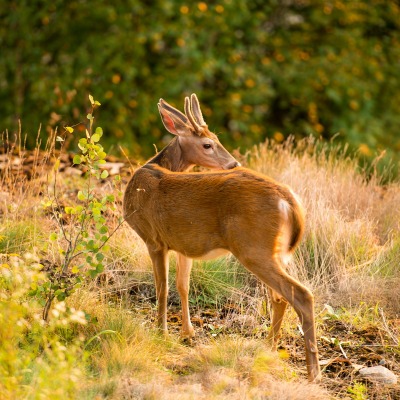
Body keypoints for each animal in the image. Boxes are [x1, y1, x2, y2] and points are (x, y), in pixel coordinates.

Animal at [123, 93, 320, 382]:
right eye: (208, 143)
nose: (233, 163)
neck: (155, 168)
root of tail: (289, 200)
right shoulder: (183, 245)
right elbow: (182, 286)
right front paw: (187, 333)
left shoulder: (153, 239)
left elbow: (162, 288)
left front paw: (161, 333)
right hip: (277, 251)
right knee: (280, 297)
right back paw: (268, 347)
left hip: (253, 247)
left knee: (300, 294)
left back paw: (312, 371)